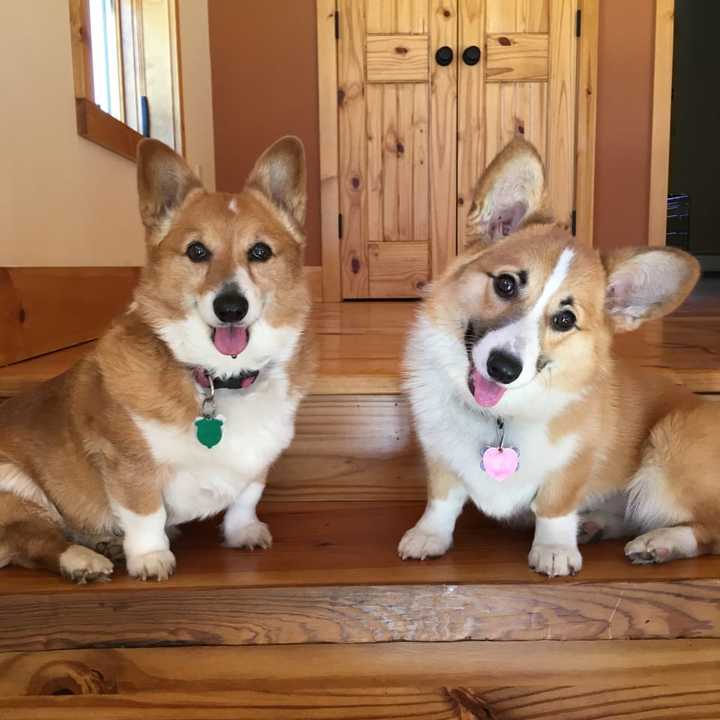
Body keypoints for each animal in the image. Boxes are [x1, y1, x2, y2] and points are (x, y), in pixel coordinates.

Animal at [0, 135, 316, 584]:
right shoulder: (126, 462)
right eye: (197, 251)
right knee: (30, 539)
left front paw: (243, 533)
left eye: (259, 252)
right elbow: (146, 512)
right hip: (13, 483)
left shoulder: (260, 461)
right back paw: (83, 559)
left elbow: (246, 497)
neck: (217, 378)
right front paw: (151, 558)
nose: (230, 308)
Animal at [400, 135, 716, 576]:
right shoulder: (439, 453)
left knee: (707, 530)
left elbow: (555, 505)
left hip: (667, 451)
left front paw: (554, 550)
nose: (503, 368)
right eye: (506, 284)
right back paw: (598, 525)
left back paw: (660, 542)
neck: (503, 417)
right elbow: (442, 499)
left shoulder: (574, 464)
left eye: (565, 320)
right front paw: (429, 536)